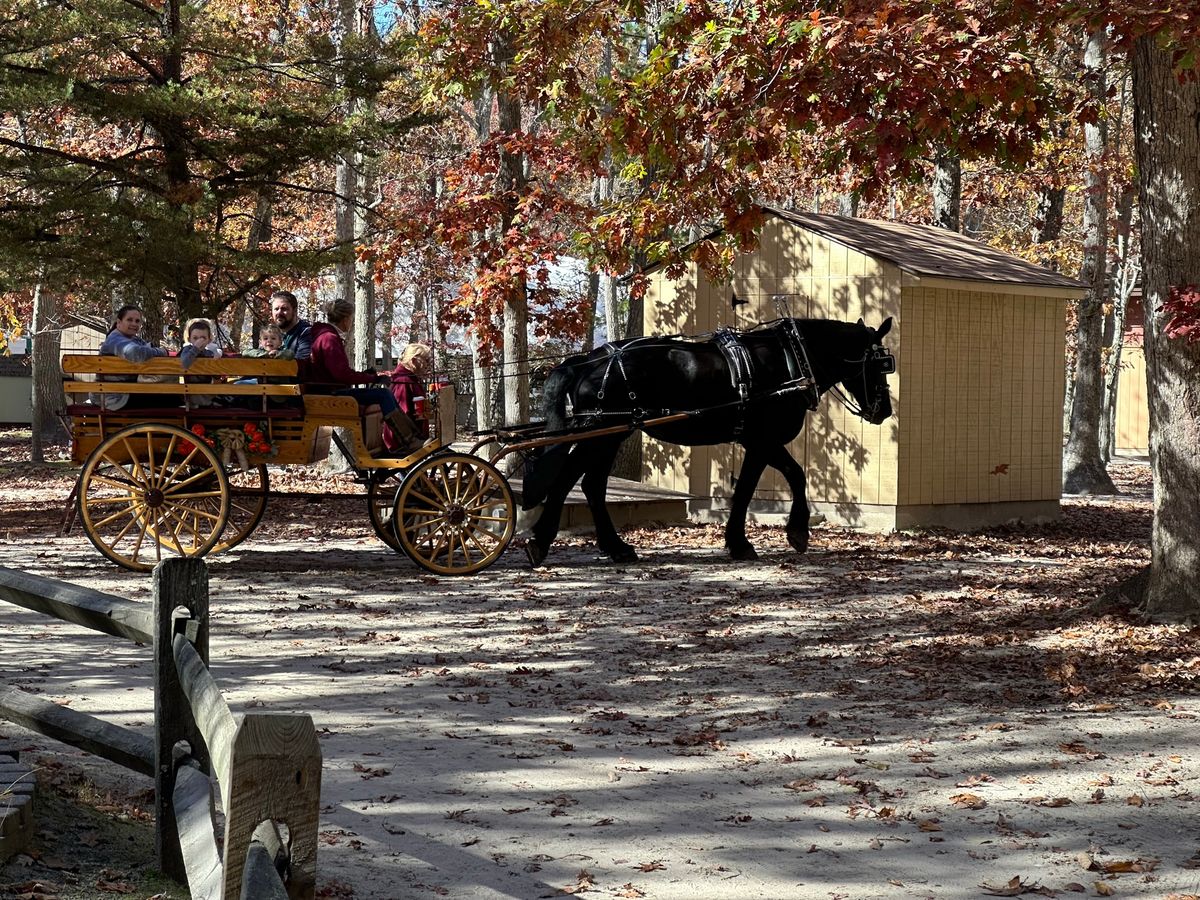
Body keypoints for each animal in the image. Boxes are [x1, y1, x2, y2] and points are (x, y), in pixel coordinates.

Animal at [520, 316, 897, 566]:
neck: (792, 359)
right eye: (881, 363)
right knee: (570, 481)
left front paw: (738, 541)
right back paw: (542, 541)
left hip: (609, 435)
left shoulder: (755, 444)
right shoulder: (764, 440)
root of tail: (587, 360)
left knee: (592, 485)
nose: (884, 411)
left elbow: (746, 489)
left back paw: (616, 547)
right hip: (601, 435)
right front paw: (794, 532)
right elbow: (791, 476)